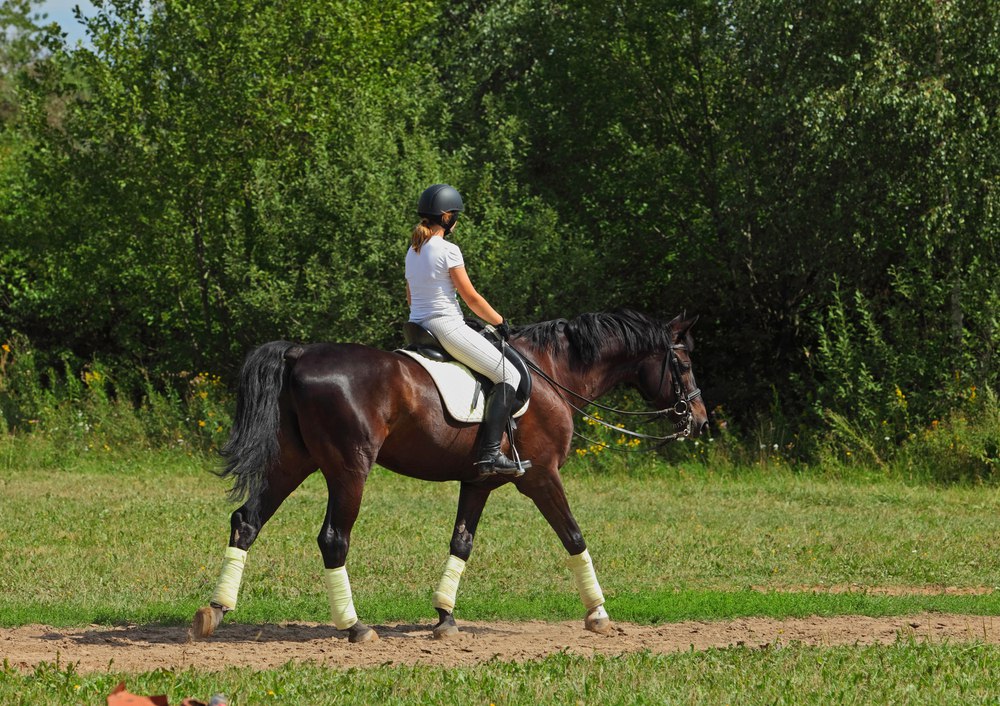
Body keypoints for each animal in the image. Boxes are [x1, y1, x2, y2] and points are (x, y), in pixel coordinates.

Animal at [193, 308, 712, 640]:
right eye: (684, 363)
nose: (701, 421)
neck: (551, 374)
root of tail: (300, 353)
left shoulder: (479, 481)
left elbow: (461, 542)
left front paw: (444, 617)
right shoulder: (540, 476)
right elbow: (574, 536)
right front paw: (599, 613)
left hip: (292, 461)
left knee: (247, 521)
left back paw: (214, 612)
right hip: (348, 468)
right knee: (333, 538)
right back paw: (355, 627)